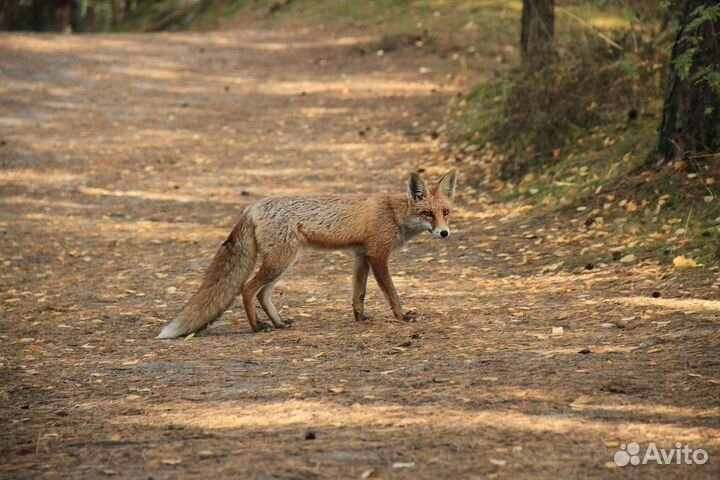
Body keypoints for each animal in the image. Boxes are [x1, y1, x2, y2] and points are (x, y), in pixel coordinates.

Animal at [158, 169, 458, 338]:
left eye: (446, 212)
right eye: (427, 213)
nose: (445, 233)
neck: (394, 213)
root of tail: (253, 206)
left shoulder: (361, 255)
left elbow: (358, 293)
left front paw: (360, 318)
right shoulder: (378, 255)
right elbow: (391, 292)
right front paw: (402, 317)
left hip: (285, 261)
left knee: (263, 293)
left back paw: (279, 323)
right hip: (281, 260)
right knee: (248, 289)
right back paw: (257, 327)